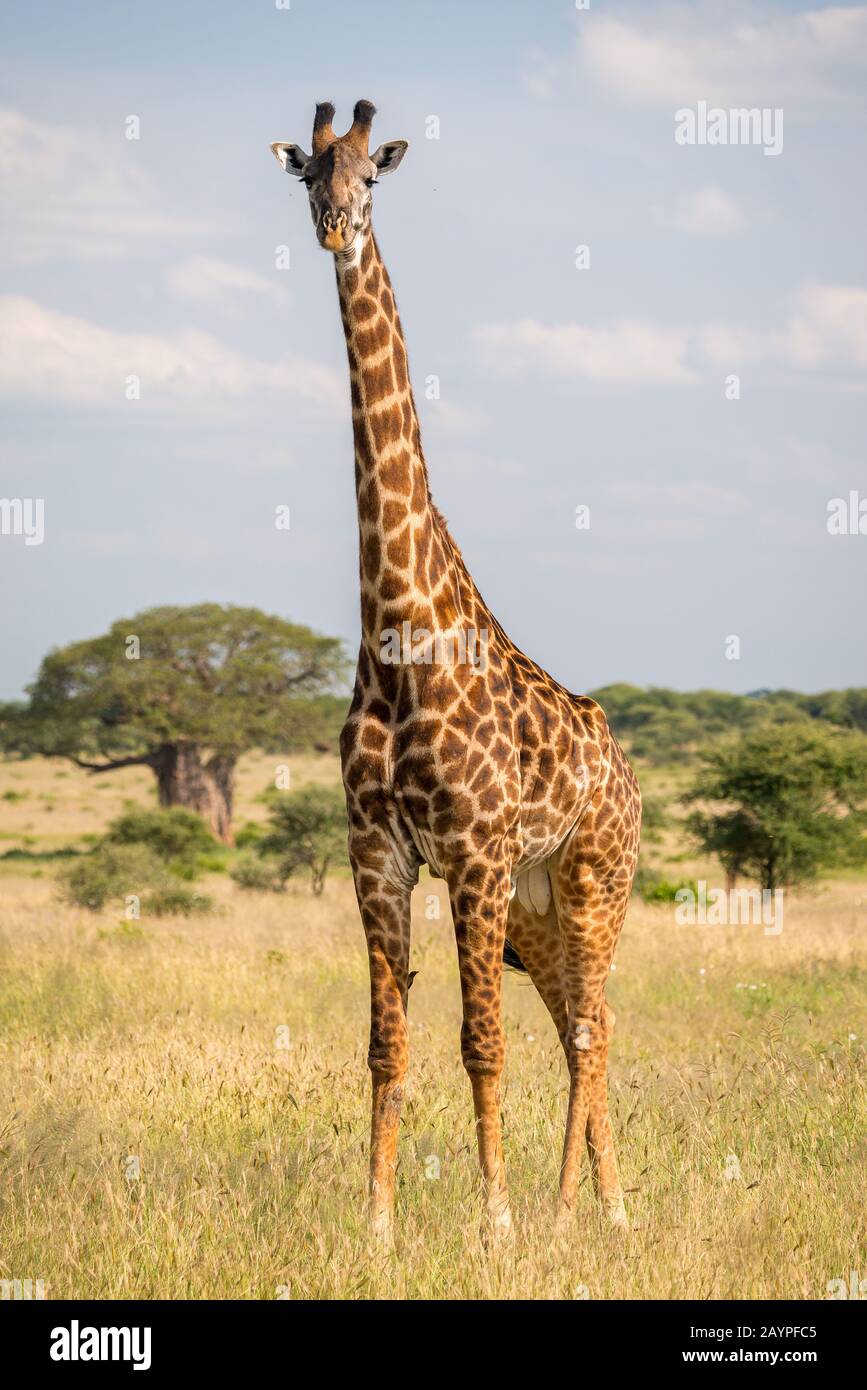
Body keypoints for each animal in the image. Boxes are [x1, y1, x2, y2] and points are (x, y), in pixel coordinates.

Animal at [270, 102, 644, 1245]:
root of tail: (629, 773)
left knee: (590, 1027)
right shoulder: (378, 853)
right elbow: (385, 1046)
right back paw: (604, 1205)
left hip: (595, 874)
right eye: (306, 174)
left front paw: (496, 1224)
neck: (397, 637)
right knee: (581, 1018)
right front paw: (379, 1225)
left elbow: (481, 1045)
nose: (334, 228)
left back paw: (577, 1211)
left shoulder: (473, 855)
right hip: (537, 904)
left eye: (371, 179)